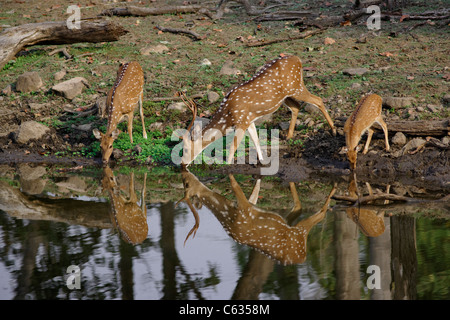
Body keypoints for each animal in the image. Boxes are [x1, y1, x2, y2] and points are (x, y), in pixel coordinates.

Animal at [178, 169, 336, 264]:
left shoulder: (244, 209)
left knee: (320, 214)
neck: (228, 213)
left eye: (186, 184)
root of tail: (302, 257)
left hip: (299, 234)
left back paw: (334, 188)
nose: (183, 170)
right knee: (298, 206)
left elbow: (235, 184)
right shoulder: (248, 206)